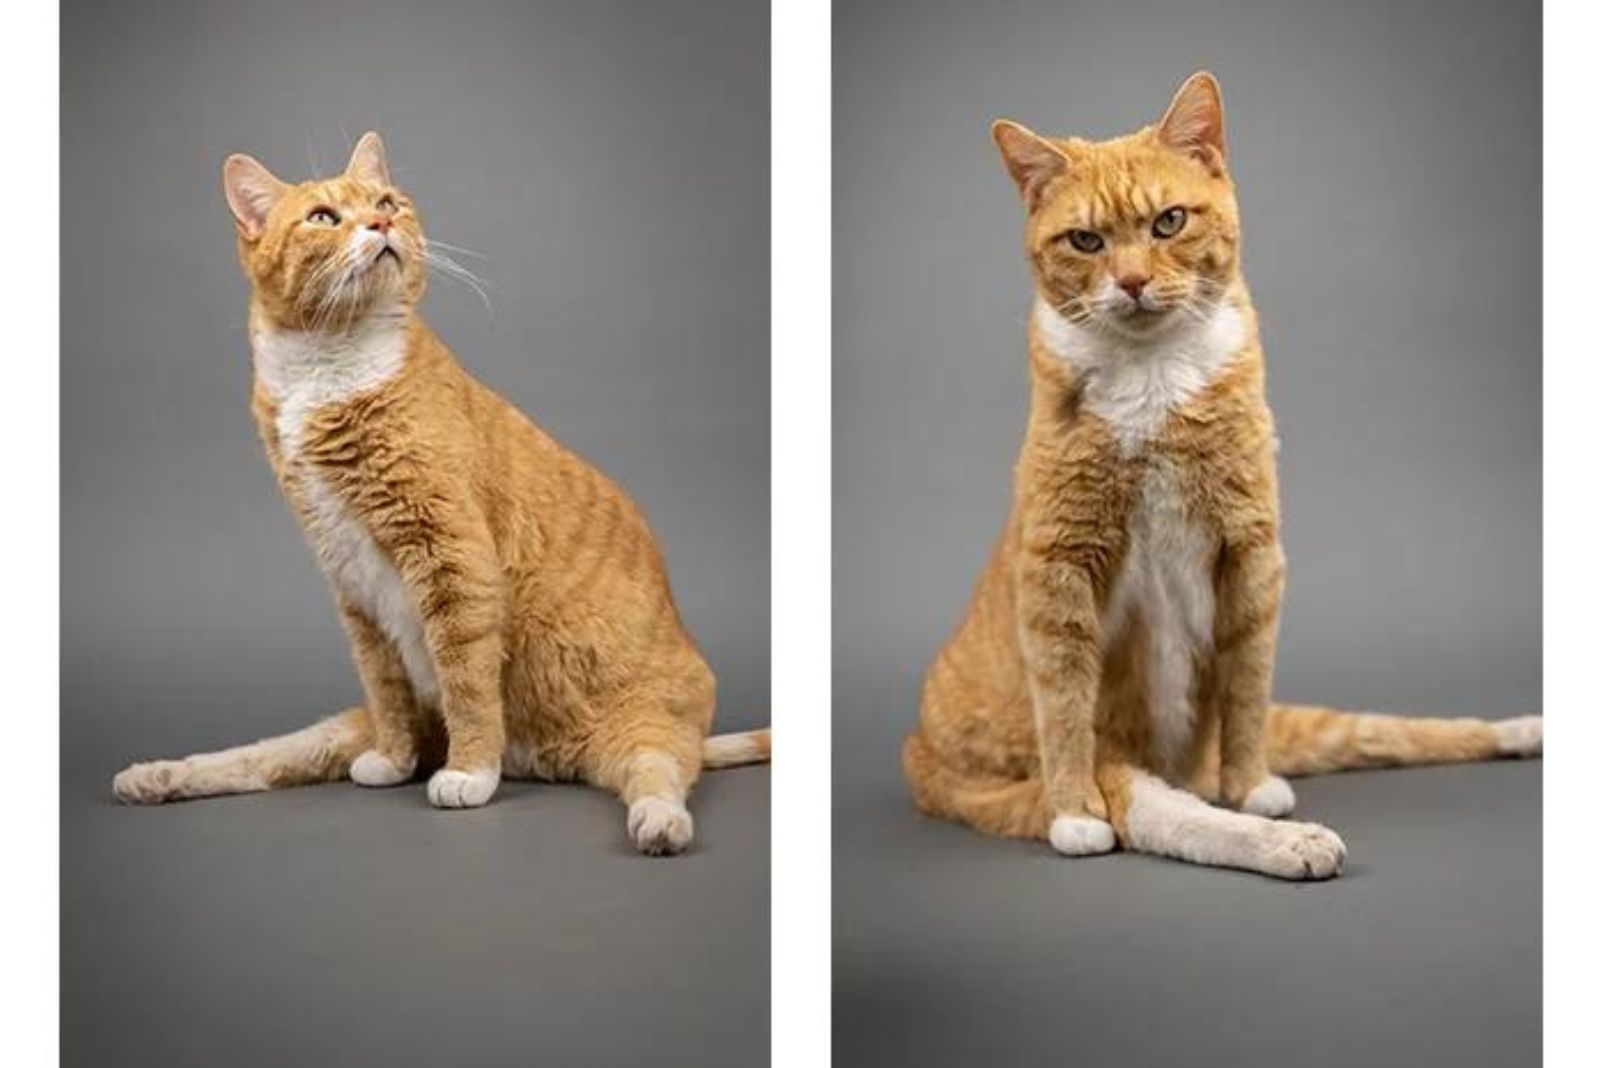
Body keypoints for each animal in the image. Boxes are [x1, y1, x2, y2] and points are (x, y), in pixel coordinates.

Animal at [112, 133, 768, 856]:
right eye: (323, 218)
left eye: (387, 201)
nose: (382, 223)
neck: (327, 365)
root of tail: (539, 758)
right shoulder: (349, 580)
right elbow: (385, 684)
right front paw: (395, 762)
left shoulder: (452, 553)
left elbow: (469, 678)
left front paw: (470, 772)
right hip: (340, 724)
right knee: (264, 757)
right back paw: (154, 776)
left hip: (641, 730)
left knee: (659, 771)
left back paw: (656, 824)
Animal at [902, 70, 1536, 882]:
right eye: (1086, 240)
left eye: (1169, 222)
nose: (1132, 281)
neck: (1153, 374)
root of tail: (915, 747)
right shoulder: (1058, 565)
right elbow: (1065, 703)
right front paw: (1075, 814)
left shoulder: (1252, 549)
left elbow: (1247, 684)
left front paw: (1253, 784)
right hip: (1068, 774)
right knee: (1175, 811)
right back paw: (1292, 843)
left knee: (1363, 731)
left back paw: (1519, 730)